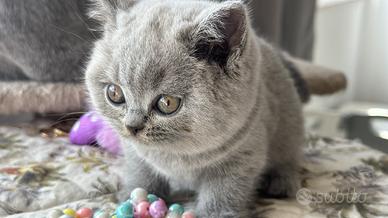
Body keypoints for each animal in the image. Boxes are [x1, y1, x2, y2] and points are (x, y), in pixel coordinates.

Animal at [85, 0, 306, 216]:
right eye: (114, 93)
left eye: (167, 103)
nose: (131, 126)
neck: (178, 154)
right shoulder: (135, 152)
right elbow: (140, 172)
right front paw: (131, 195)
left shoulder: (243, 155)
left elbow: (223, 192)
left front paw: (214, 213)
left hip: (289, 127)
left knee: (289, 158)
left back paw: (280, 183)